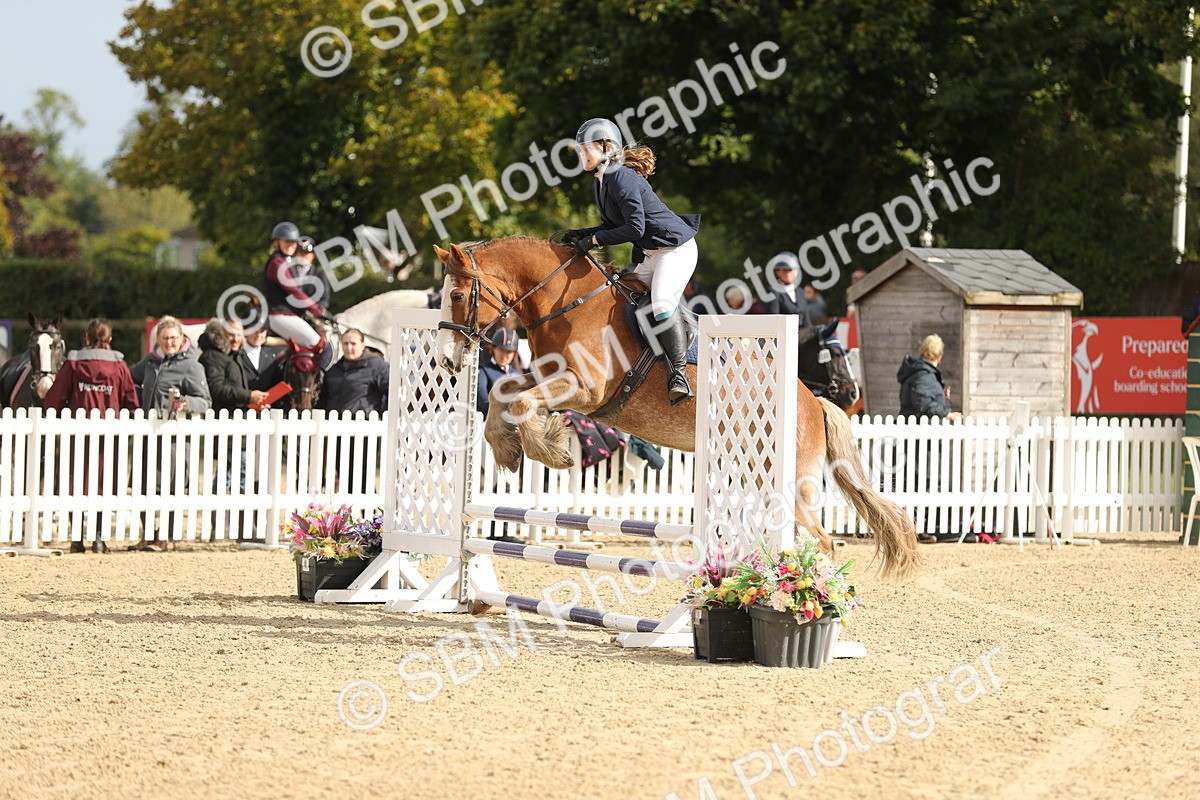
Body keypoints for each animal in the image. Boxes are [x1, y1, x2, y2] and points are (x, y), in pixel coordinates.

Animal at [432, 237, 919, 579]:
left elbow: (521, 401)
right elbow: (504, 392)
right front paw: (509, 448)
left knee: (820, 541)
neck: (565, 302)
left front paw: (550, 448)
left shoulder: (584, 389)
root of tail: (813, 403)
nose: (447, 360)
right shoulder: (546, 376)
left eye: (456, 296)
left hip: (789, 482)